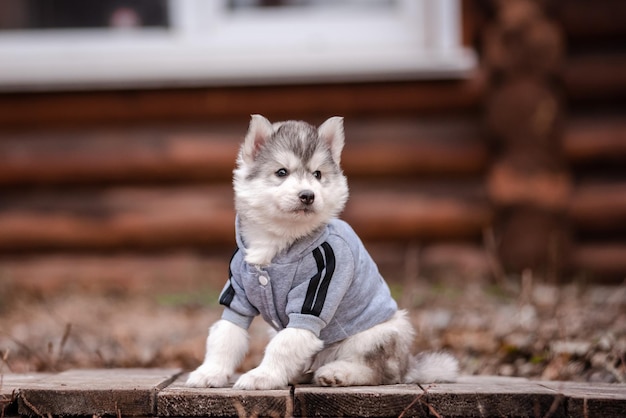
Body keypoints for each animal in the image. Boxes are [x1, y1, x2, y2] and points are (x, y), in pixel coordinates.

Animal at [183, 115, 456, 392]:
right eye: (281, 172)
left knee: (378, 372)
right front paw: (211, 372)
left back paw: (338, 373)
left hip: (379, 333)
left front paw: (262, 376)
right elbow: (225, 336)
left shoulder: (316, 294)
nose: (307, 195)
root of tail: (408, 365)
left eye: (317, 174)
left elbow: (283, 345)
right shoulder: (237, 297)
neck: (279, 241)